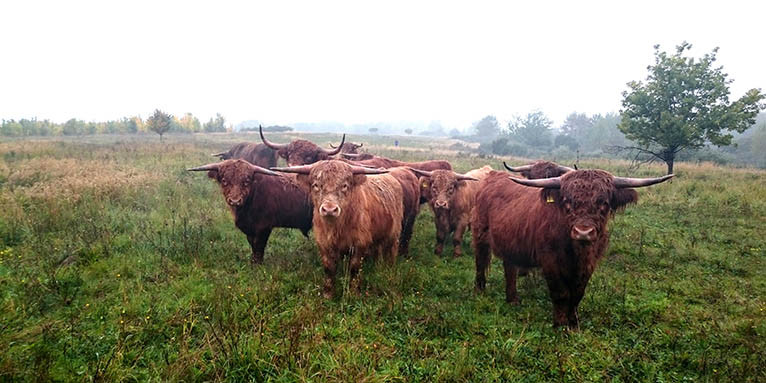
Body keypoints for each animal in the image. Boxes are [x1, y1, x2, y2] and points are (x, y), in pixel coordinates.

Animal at [272, 160, 404, 298]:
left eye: (344, 185)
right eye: (316, 185)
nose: (329, 209)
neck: (336, 228)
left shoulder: (360, 244)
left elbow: (354, 269)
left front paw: (353, 293)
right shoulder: (324, 244)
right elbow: (329, 268)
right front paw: (328, 294)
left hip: (394, 233)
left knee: (392, 250)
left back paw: (389, 269)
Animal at [472, 170, 676, 328]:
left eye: (604, 203)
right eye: (568, 202)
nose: (583, 232)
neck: (576, 251)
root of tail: (492, 176)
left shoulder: (589, 263)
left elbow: (578, 292)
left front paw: (574, 323)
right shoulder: (550, 261)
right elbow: (560, 293)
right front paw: (560, 324)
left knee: (510, 268)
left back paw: (512, 299)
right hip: (480, 234)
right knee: (480, 262)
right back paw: (480, 291)